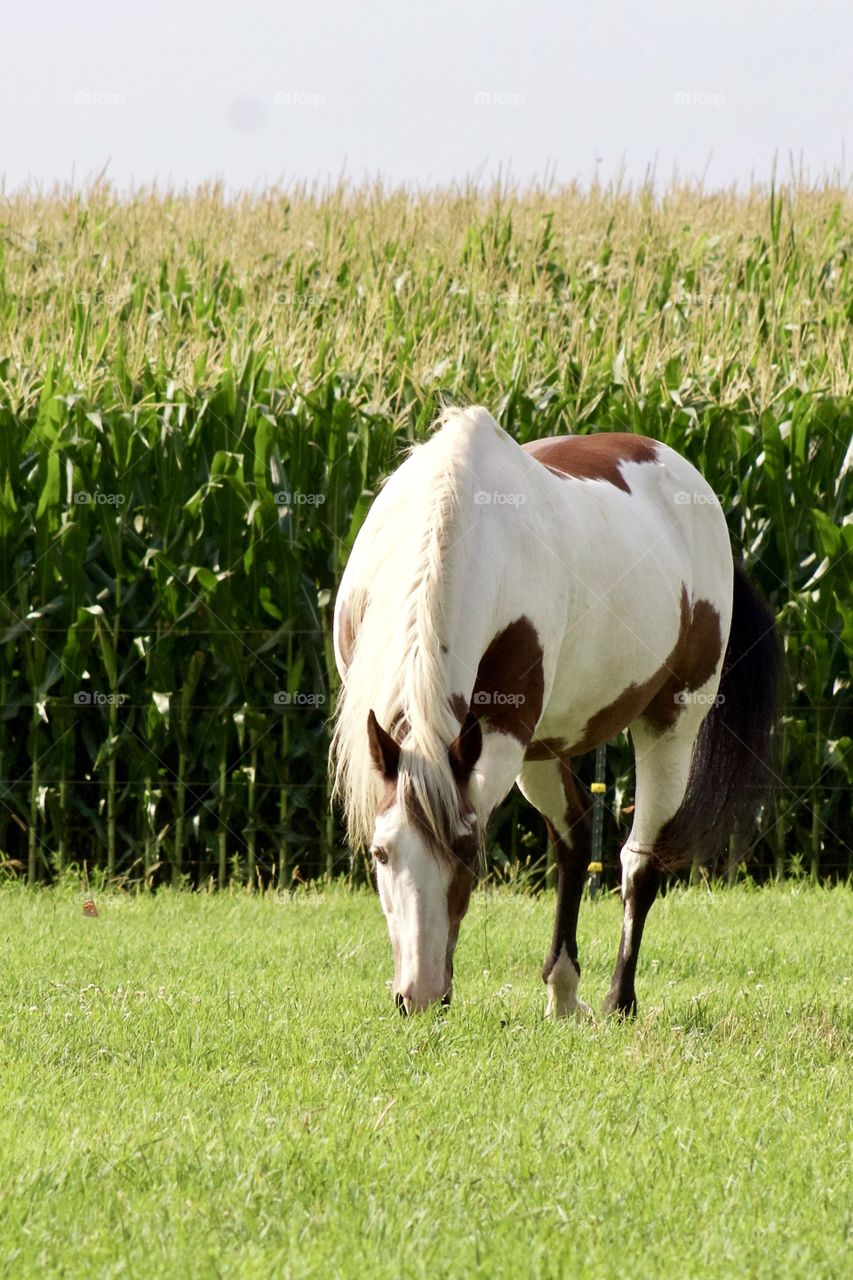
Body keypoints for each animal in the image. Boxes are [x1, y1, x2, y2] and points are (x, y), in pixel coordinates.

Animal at [326, 404, 778, 1013]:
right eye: (379, 853)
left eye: (469, 853)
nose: (418, 996)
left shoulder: (502, 736)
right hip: (545, 749)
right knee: (575, 836)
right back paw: (563, 994)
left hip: (670, 727)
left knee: (639, 859)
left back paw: (617, 999)